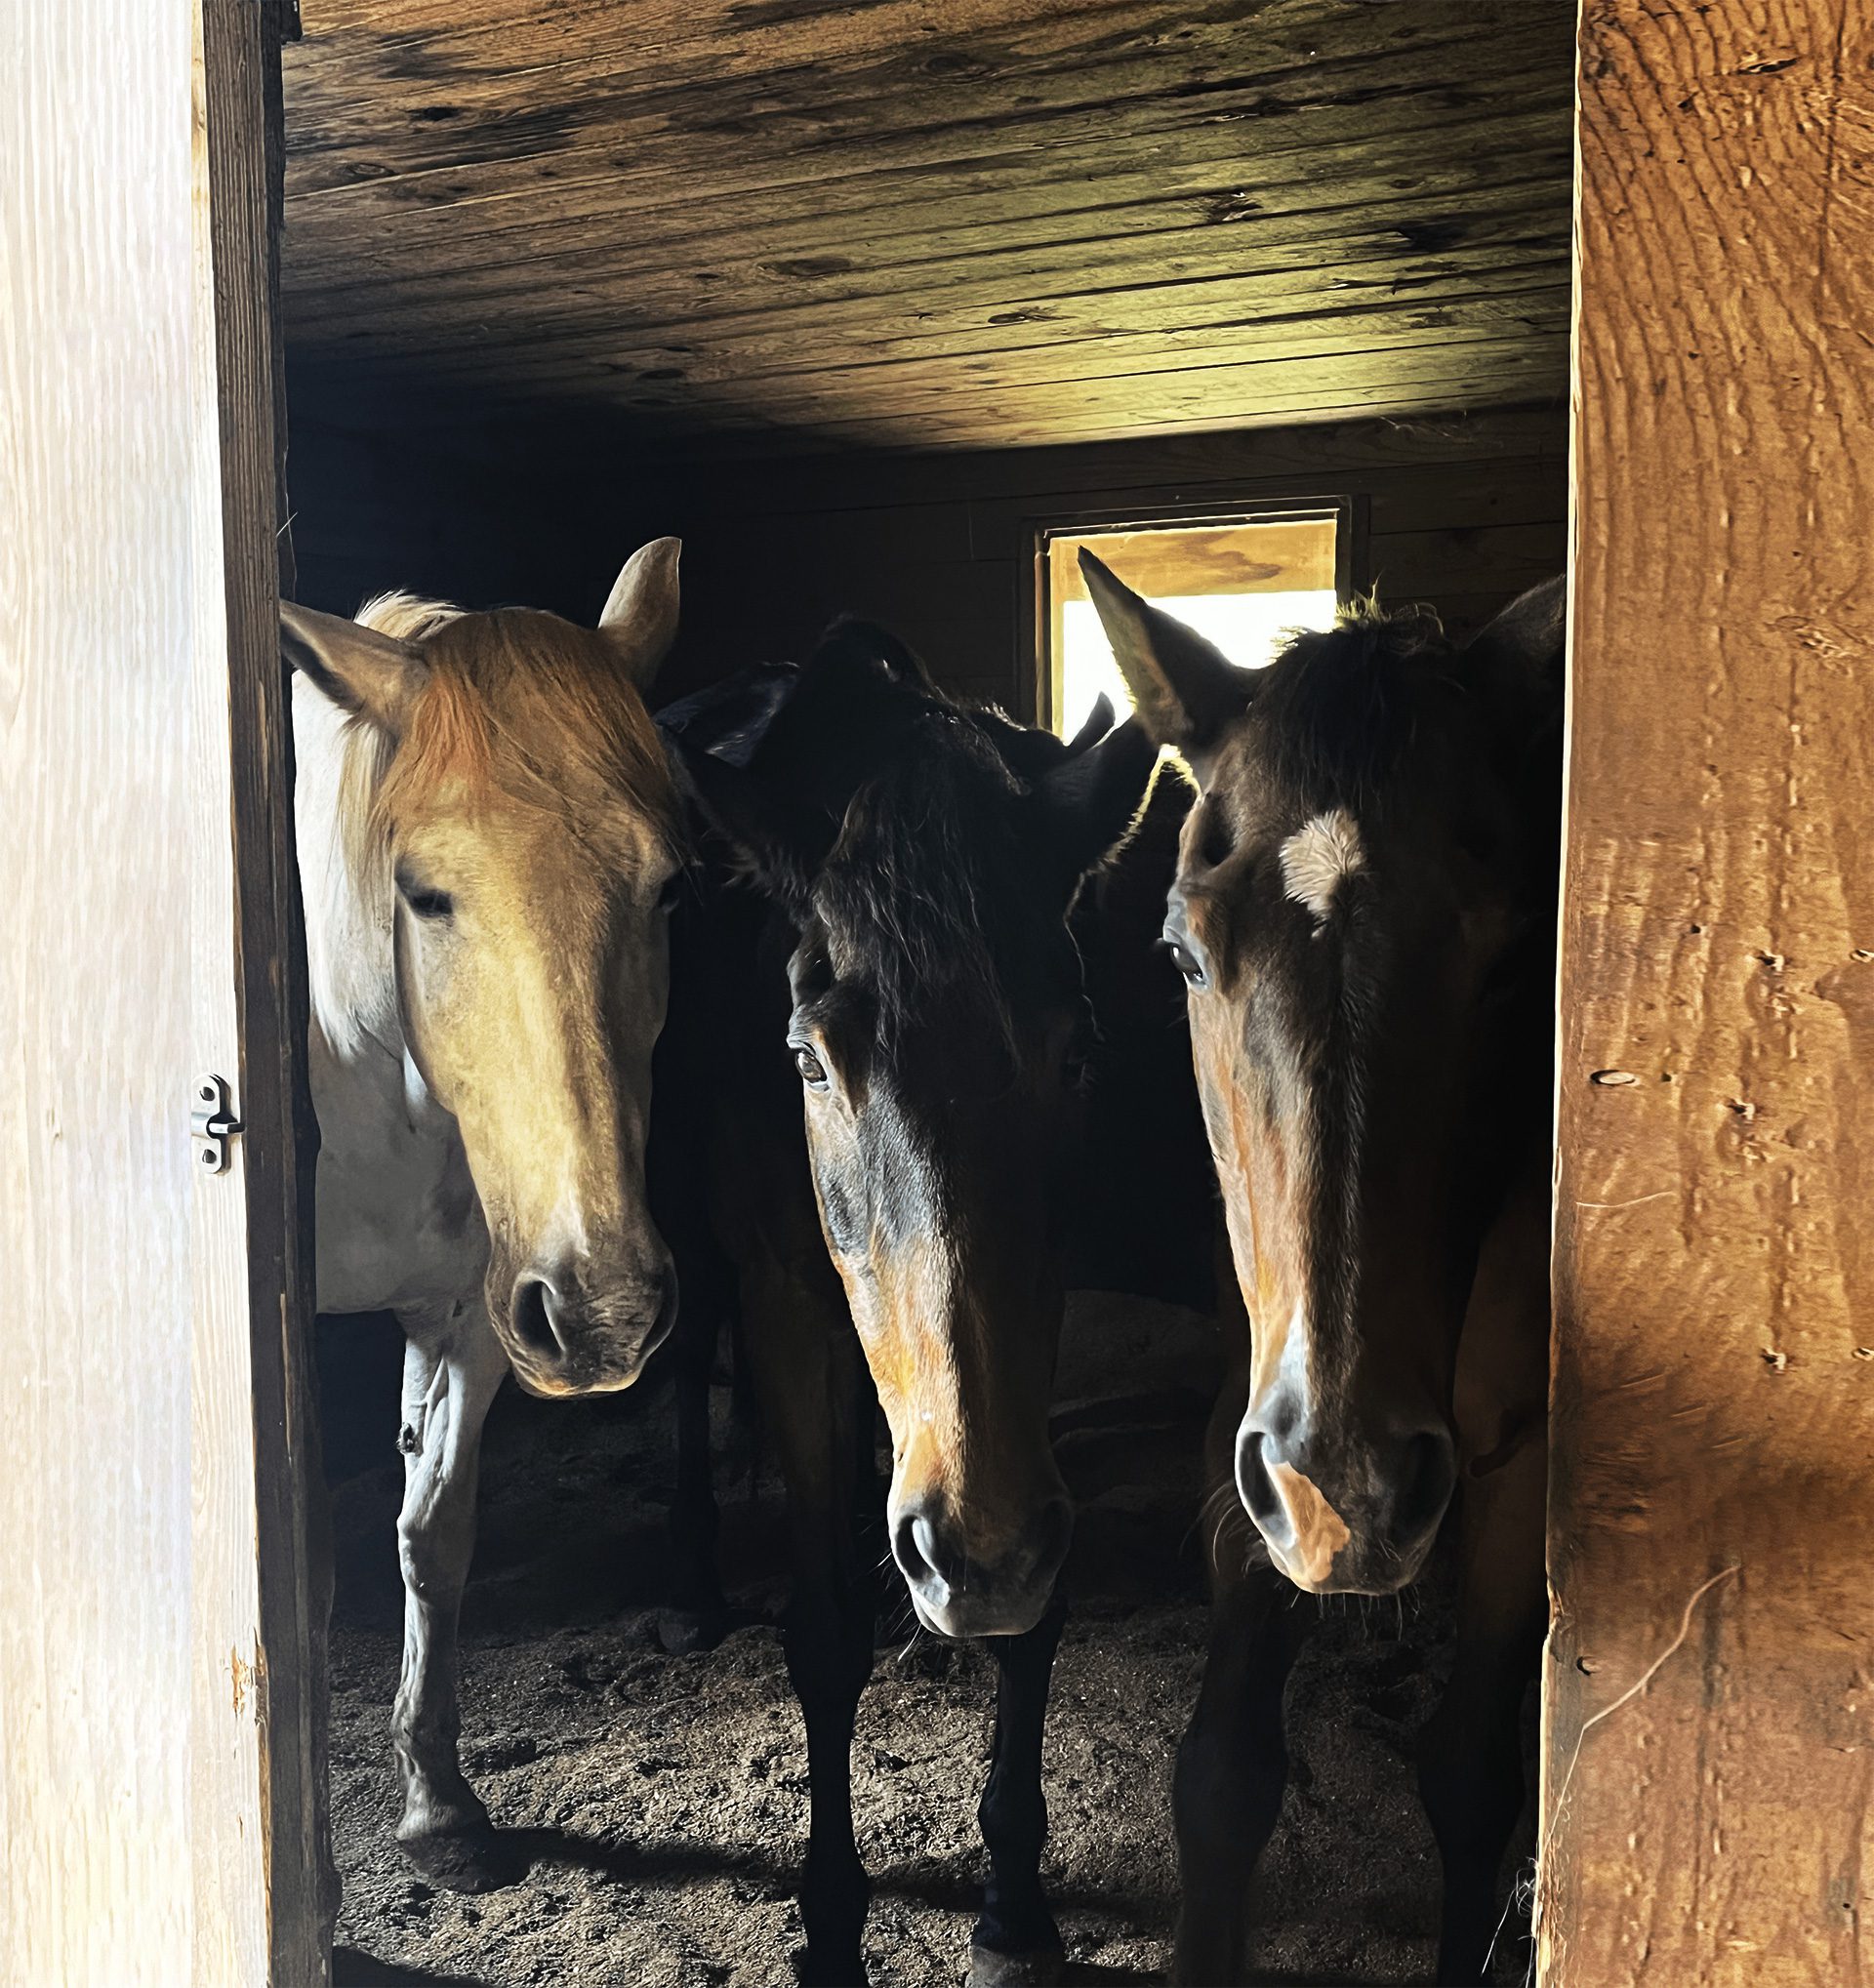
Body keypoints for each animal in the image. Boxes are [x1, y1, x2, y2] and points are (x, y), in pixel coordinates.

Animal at [281, 537, 688, 1893]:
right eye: (425, 894)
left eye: (669, 888)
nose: (608, 1311)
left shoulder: (474, 1312)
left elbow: (432, 1533)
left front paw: (440, 1804)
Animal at [666, 623, 1157, 1987]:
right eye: (807, 1058)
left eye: (1079, 1050)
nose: (975, 1559)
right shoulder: (787, 1304)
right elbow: (821, 1631)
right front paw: (832, 1921)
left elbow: (1035, 1618)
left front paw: (1016, 1903)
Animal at [1081, 556, 1564, 1984]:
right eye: (1184, 952)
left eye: (1511, 963)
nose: (1346, 1487)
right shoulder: (1245, 1449)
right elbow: (1224, 1779)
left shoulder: (1518, 1470)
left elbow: (1474, 1782)